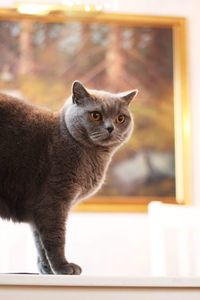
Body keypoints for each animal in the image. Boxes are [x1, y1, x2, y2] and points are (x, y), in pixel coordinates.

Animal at [0, 81, 138, 274]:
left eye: (120, 118)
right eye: (95, 115)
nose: (110, 128)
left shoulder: (38, 210)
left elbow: (39, 241)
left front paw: (46, 269)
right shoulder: (54, 200)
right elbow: (55, 237)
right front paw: (63, 267)